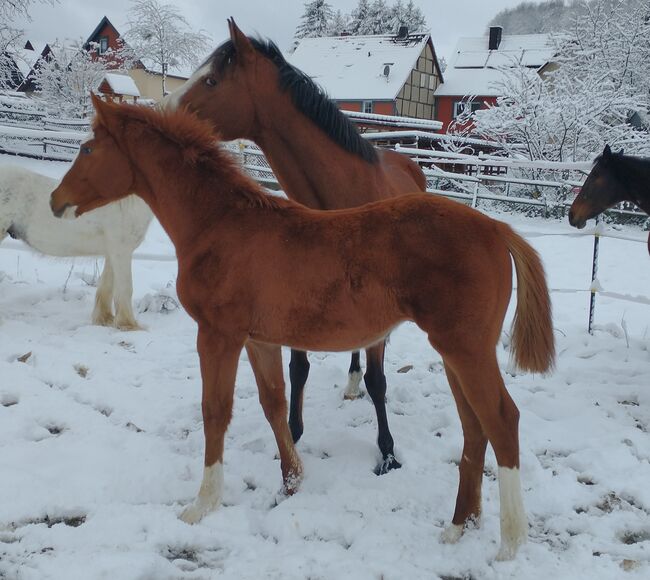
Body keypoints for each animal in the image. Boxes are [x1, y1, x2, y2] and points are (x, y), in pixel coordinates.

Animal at [0, 163, 153, 330]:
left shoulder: (113, 251)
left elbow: (107, 286)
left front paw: (104, 320)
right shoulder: (121, 250)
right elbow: (125, 287)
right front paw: (130, 326)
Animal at [53, 96, 556, 560]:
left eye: (87, 148)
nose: (57, 201)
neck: (220, 225)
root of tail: (496, 227)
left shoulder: (218, 335)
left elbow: (215, 411)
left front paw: (202, 504)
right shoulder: (259, 340)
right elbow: (275, 404)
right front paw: (292, 480)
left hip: (466, 349)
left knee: (501, 420)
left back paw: (509, 542)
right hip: (455, 351)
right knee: (475, 427)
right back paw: (458, 527)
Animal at [165, 19, 426, 476]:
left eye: (211, 80)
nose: (158, 112)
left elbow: (379, 381)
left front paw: (388, 453)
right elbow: (297, 369)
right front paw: (293, 435)